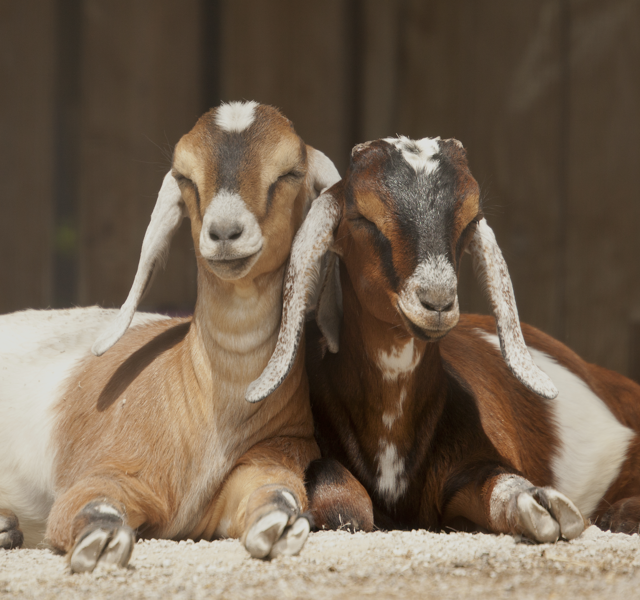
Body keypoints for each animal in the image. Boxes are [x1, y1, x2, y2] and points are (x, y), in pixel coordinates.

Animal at [0, 101, 340, 571]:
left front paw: (286, 526)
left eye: (290, 171)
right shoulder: (105, 472)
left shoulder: (266, 463)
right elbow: (89, 504)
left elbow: (277, 495)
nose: (224, 232)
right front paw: (102, 541)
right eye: (184, 176)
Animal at [249, 135, 640, 542]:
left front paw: (537, 503)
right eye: (361, 218)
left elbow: (498, 481)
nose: (437, 301)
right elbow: (339, 499)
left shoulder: (472, 457)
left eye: (471, 220)